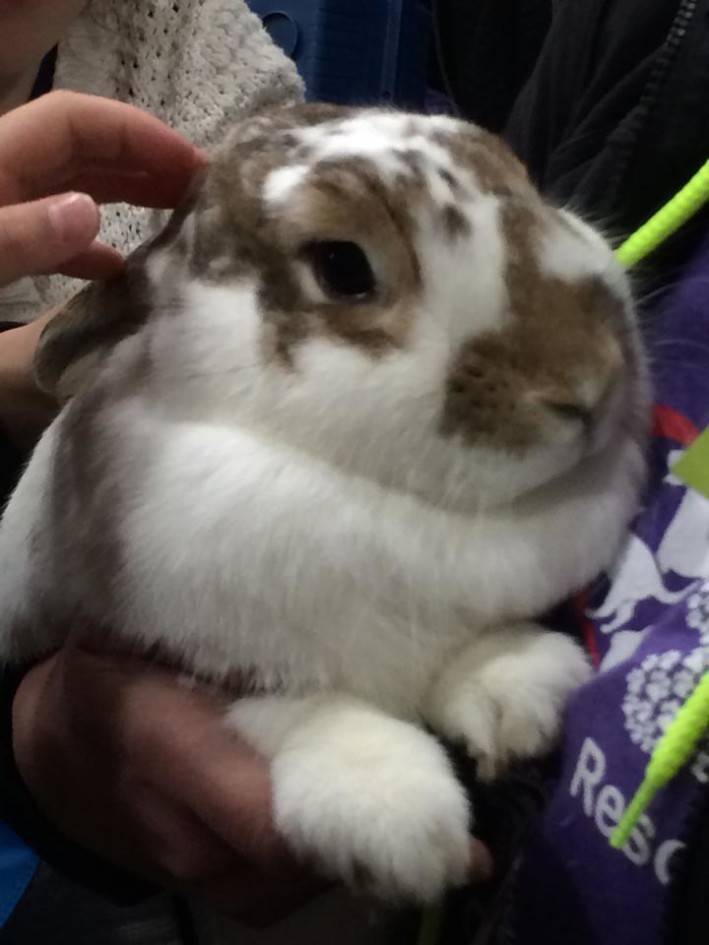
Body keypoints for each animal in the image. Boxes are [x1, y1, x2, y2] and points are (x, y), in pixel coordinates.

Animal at [0, 103, 650, 905]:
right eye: (343, 266)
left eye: (521, 177)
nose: (588, 381)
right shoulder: (186, 652)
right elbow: (288, 708)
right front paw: (396, 819)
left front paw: (514, 689)